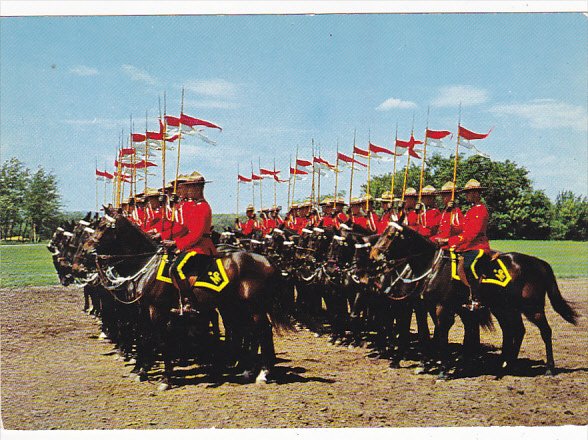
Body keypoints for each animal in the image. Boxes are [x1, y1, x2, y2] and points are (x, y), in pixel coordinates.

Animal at [372, 223, 580, 378]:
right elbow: (427, 334)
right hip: (504, 308)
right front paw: (427, 364)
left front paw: (442, 370)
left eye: (390, 236)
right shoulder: (425, 306)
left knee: (545, 331)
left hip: (532, 307)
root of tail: (538, 262)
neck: (432, 268)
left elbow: (440, 335)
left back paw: (549, 368)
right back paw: (506, 366)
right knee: (516, 331)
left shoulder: (441, 308)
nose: (374, 255)